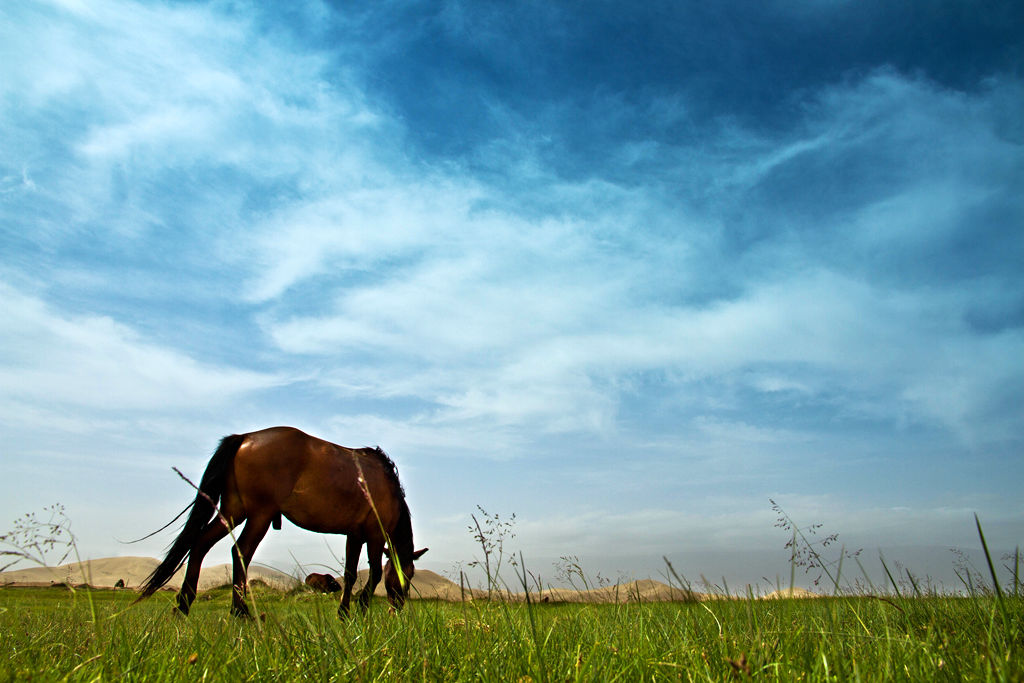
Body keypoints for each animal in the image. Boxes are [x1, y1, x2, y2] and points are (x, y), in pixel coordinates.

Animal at [133, 423, 428, 618]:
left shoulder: (354, 534)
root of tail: (244, 438)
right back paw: (241, 612)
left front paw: (344, 613)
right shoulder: (375, 534)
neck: (387, 486)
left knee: (200, 544)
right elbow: (375, 572)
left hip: (233, 511)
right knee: (240, 551)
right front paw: (362, 608)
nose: (398, 607)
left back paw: (184, 604)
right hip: (259, 515)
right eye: (409, 574)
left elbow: (350, 573)